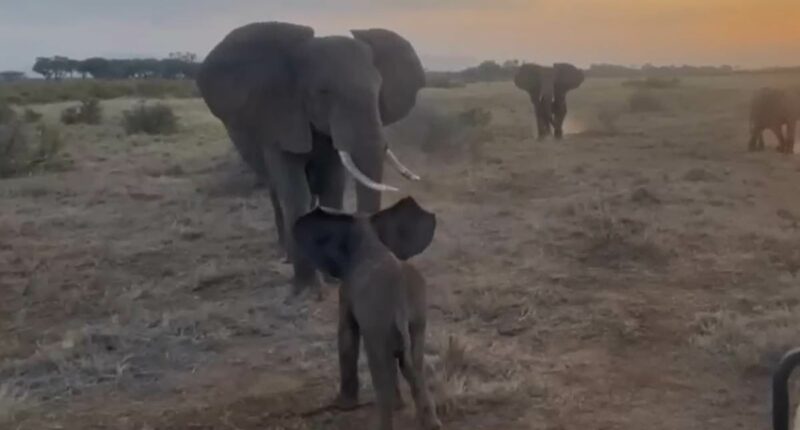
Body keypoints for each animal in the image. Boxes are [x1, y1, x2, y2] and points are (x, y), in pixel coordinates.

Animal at [196, 22, 426, 294]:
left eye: (379, 90)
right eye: (323, 92)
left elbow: (333, 188)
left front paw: (332, 279)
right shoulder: (280, 120)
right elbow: (296, 194)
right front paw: (306, 289)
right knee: (277, 193)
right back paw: (284, 254)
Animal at [293, 197, 441, 430]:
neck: (369, 236)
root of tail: (398, 298)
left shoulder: (346, 291)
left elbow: (346, 335)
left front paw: (343, 406)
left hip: (378, 323)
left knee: (382, 370)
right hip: (416, 317)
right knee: (415, 364)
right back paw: (431, 423)